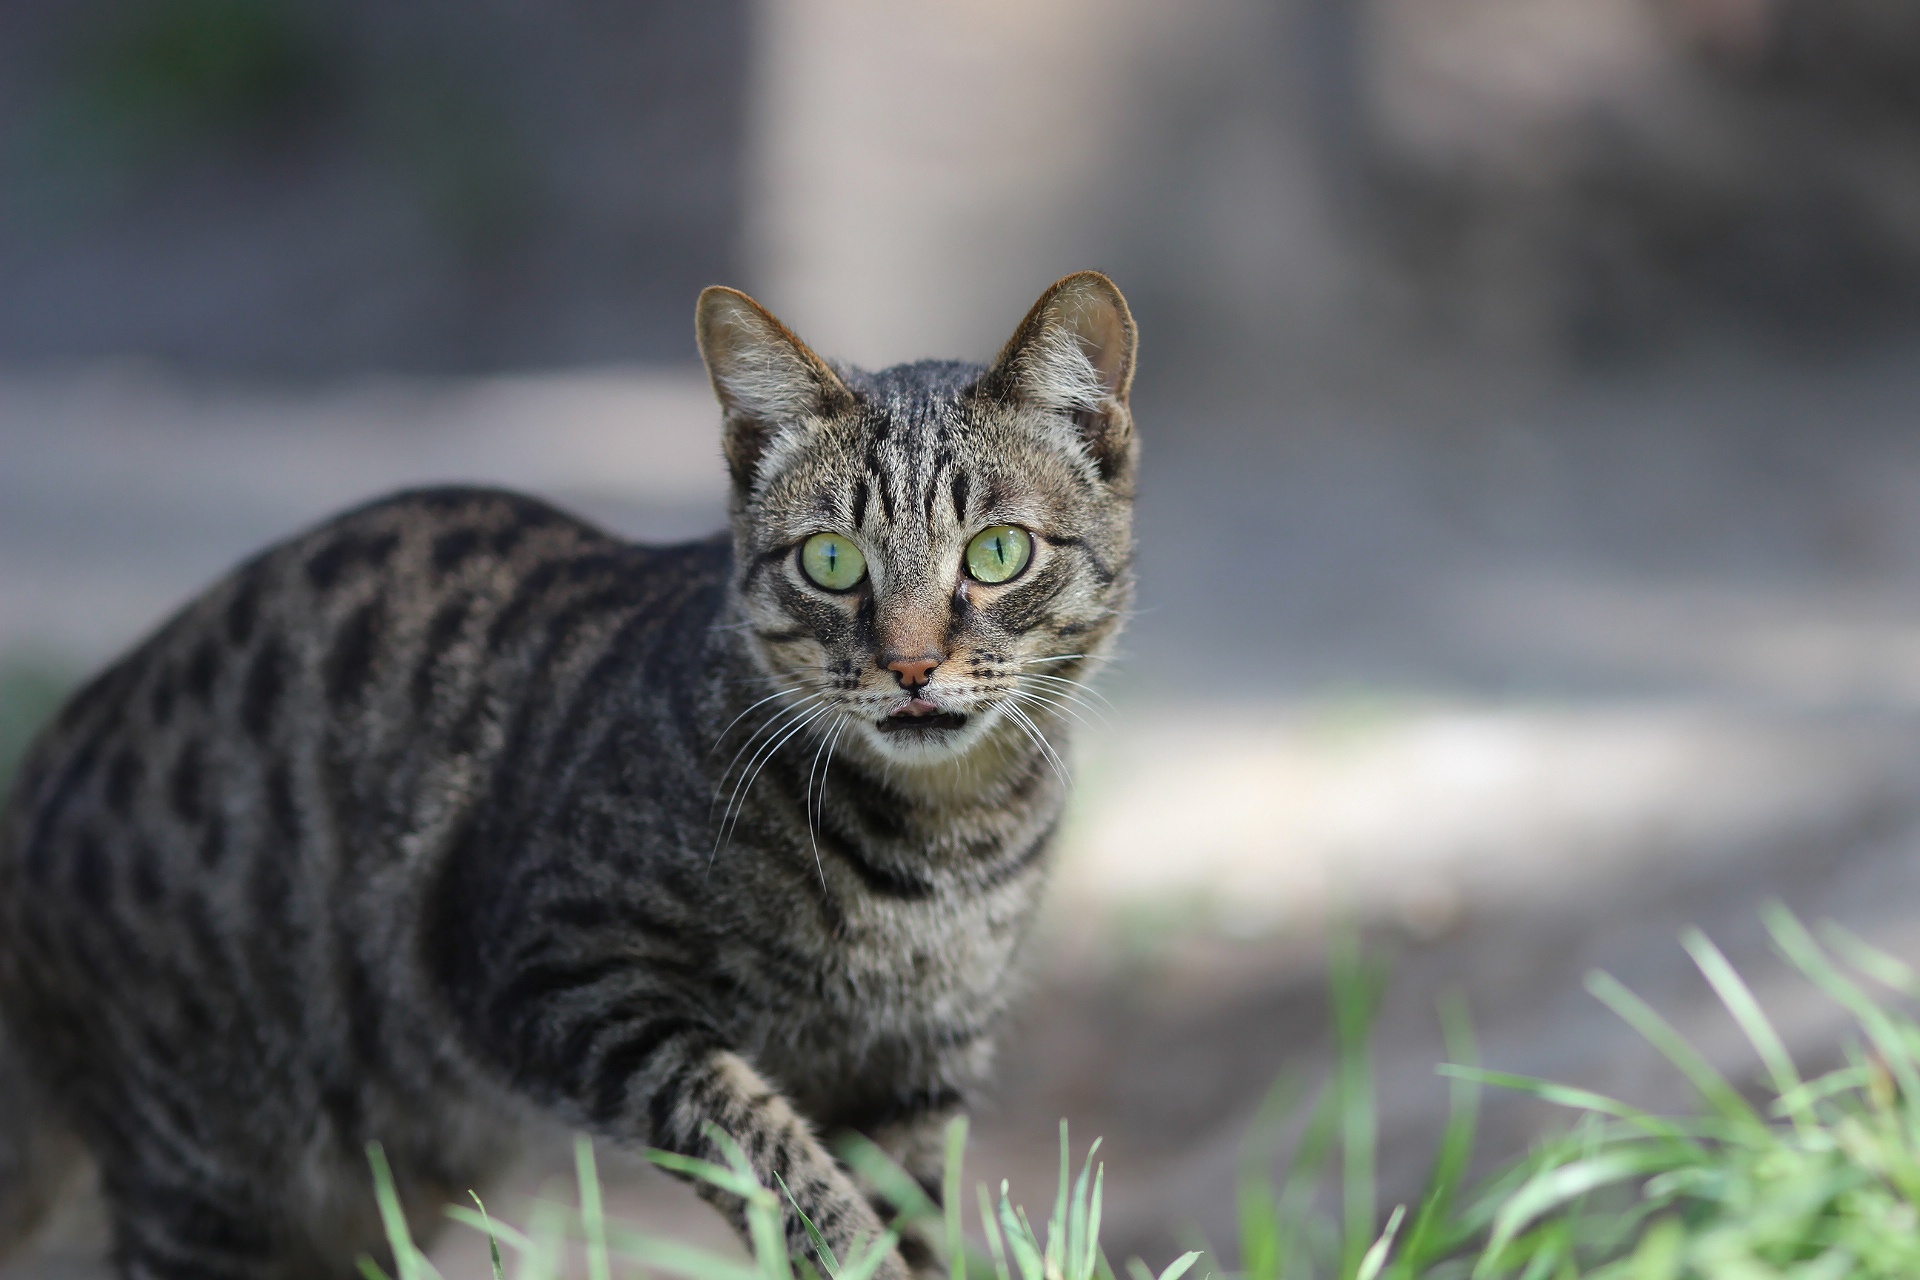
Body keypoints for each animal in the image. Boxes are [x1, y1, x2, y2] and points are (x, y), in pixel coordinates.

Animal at [0, 272, 1136, 1280]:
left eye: (996, 552)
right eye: (830, 562)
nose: (909, 665)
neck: (945, 845)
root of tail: (40, 770)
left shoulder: (916, 1077)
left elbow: (902, 1209)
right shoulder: (552, 973)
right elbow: (768, 1144)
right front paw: (854, 1252)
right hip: (208, 1175)